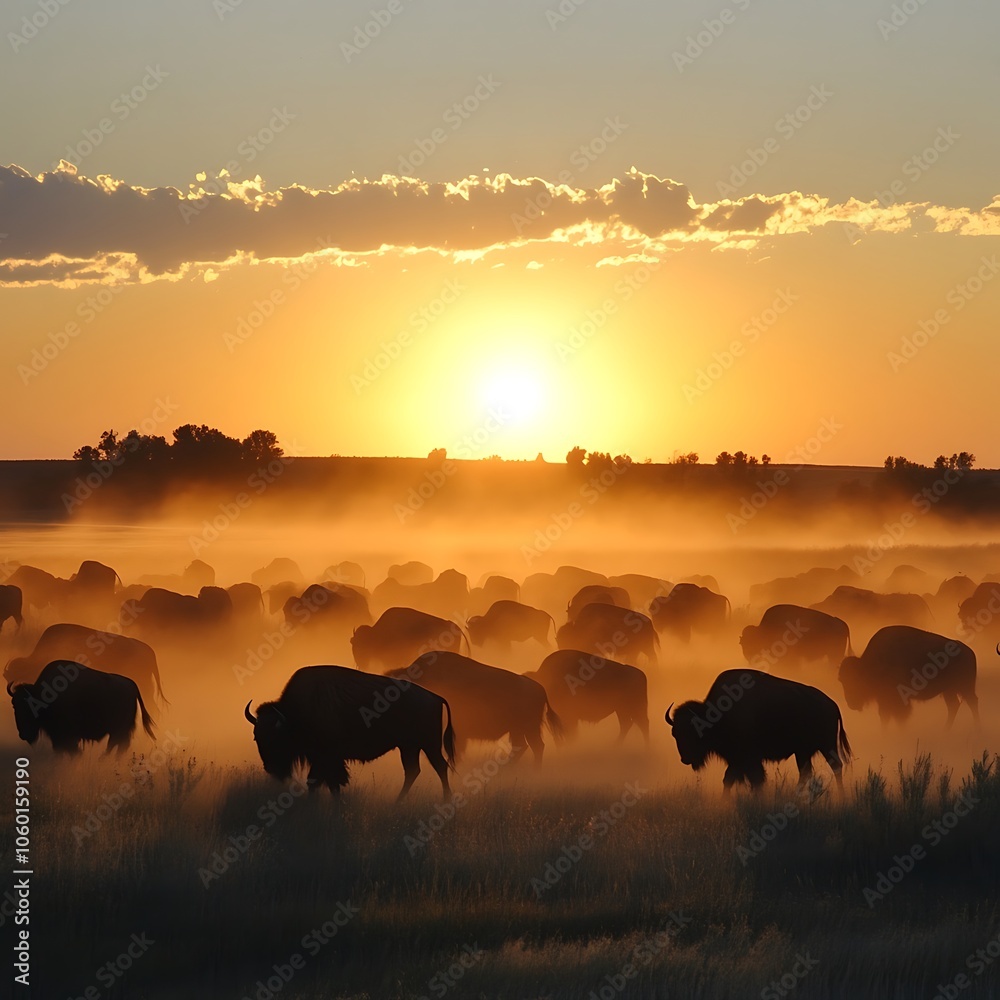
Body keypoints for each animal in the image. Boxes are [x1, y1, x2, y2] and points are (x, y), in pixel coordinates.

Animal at [9, 659, 155, 755]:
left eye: (31, 707)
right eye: (14, 706)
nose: (23, 734)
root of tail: (132, 684)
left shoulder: (68, 736)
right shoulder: (57, 737)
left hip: (119, 730)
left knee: (116, 745)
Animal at [244, 665, 455, 799]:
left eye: (277, 738)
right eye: (256, 737)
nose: (271, 768)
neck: (295, 714)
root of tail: (435, 697)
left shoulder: (327, 757)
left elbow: (322, 781)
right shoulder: (325, 758)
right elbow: (327, 783)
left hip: (429, 745)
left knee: (440, 767)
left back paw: (445, 799)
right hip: (409, 747)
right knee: (413, 770)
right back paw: (398, 802)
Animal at [666, 669, 851, 792]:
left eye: (695, 732)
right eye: (675, 734)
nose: (685, 758)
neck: (717, 714)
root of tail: (832, 704)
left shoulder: (749, 758)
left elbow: (755, 780)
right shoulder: (736, 758)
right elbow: (729, 779)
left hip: (826, 746)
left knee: (836, 767)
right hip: (803, 752)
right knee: (806, 773)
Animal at [838, 625, 980, 727]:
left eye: (856, 679)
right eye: (842, 681)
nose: (851, 703)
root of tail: (970, 652)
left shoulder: (897, 700)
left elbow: (898, 717)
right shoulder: (883, 699)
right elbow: (884, 717)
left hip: (965, 687)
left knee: (972, 703)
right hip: (949, 690)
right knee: (953, 706)